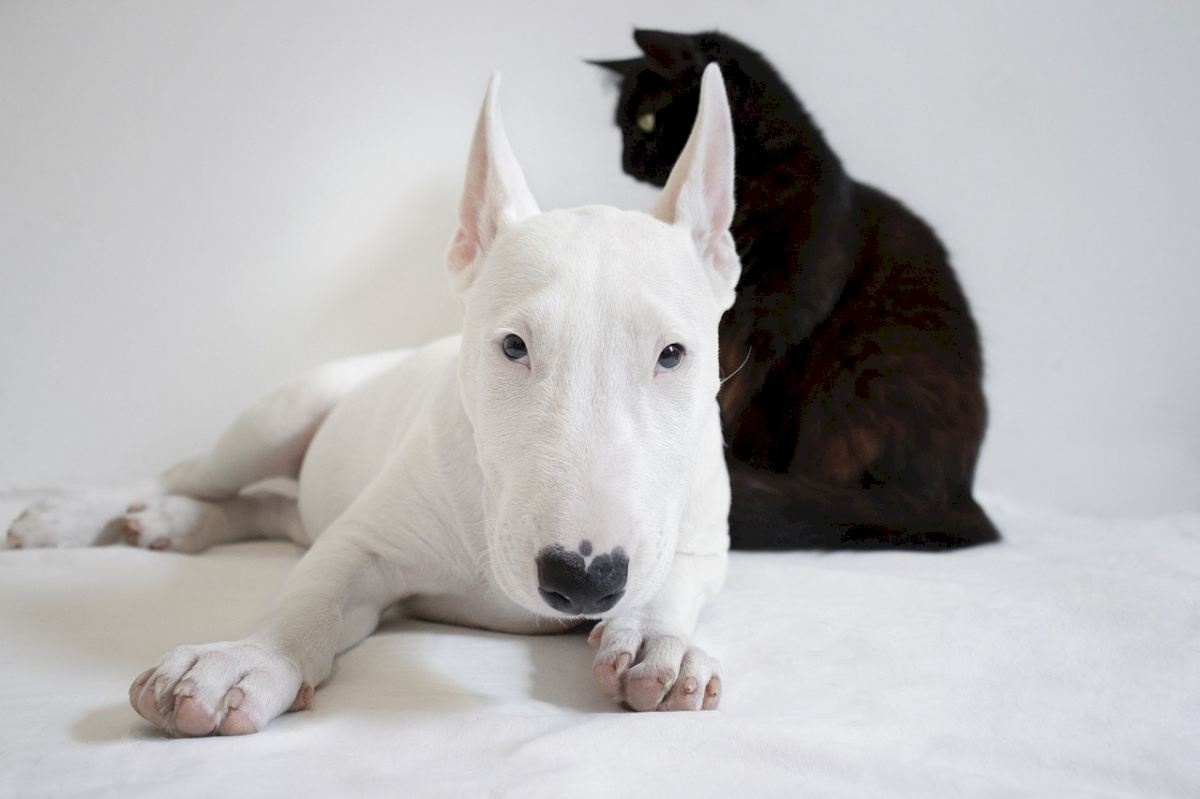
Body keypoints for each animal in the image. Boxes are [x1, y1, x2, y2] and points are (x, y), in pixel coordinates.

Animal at [4, 65, 741, 735]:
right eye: (513, 346)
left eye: (671, 354)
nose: (583, 577)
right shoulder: (367, 539)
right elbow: (314, 589)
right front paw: (243, 660)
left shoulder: (705, 537)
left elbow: (678, 576)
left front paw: (657, 642)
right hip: (278, 417)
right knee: (194, 475)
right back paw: (76, 516)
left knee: (274, 510)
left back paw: (177, 522)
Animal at [592, 29, 999, 549]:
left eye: (644, 120)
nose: (625, 163)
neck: (755, 184)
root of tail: (961, 499)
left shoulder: (778, 324)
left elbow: (741, 397)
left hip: (865, 366)